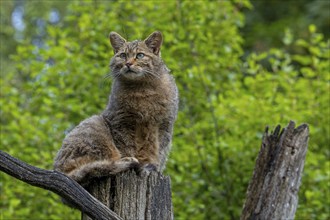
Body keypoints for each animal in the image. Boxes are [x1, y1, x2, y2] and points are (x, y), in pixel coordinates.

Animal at [53, 31, 178, 187]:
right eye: (123, 55)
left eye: (140, 55)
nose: (128, 63)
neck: (142, 89)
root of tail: (59, 171)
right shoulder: (121, 122)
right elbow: (127, 146)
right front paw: (138, 163)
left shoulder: (163, 125)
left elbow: (158, 151)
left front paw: (151, 167)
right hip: (94, 126)